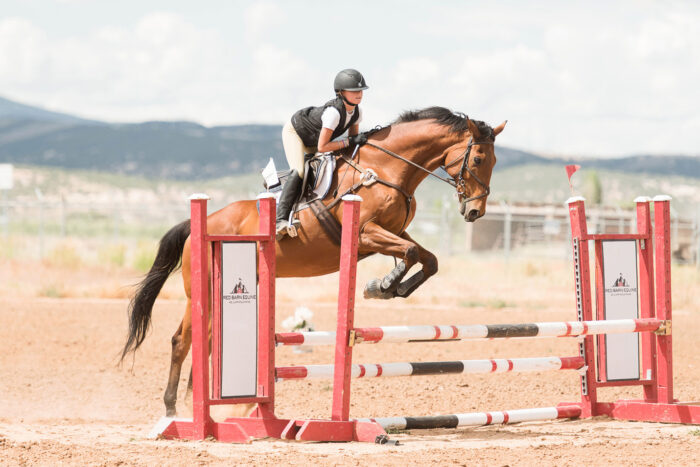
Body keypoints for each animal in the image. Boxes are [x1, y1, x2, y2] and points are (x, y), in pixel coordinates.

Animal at [121, 106, 506, 417]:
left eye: (494, 162)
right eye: (477, 160)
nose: (475, 212)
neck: (385, 168)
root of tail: (198, 224)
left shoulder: (391, 233)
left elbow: (428, 259)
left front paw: (387, 287)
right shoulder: (365, 233)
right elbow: (411, 254)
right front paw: (381, 285)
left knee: (210, 339)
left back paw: (214, 407)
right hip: (199, 293)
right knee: (182, 341)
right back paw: (174, 409)